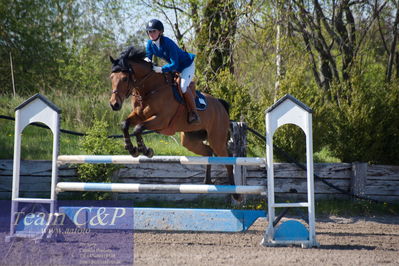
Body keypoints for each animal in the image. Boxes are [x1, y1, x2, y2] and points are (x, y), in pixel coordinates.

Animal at [108, 46, 238, 193]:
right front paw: (131, 149)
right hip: (190, 140)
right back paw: (207, 181)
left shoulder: (161, 120)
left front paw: (145, 150)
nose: (114, 104)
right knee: (208, 152)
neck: (150, 89)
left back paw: (235, 192)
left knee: (227, 160)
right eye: (111, 77)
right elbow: (125, 124)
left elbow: (138, 128)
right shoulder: (138, 115)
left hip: (216, 139)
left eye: (124, 79)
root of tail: (220, 104)